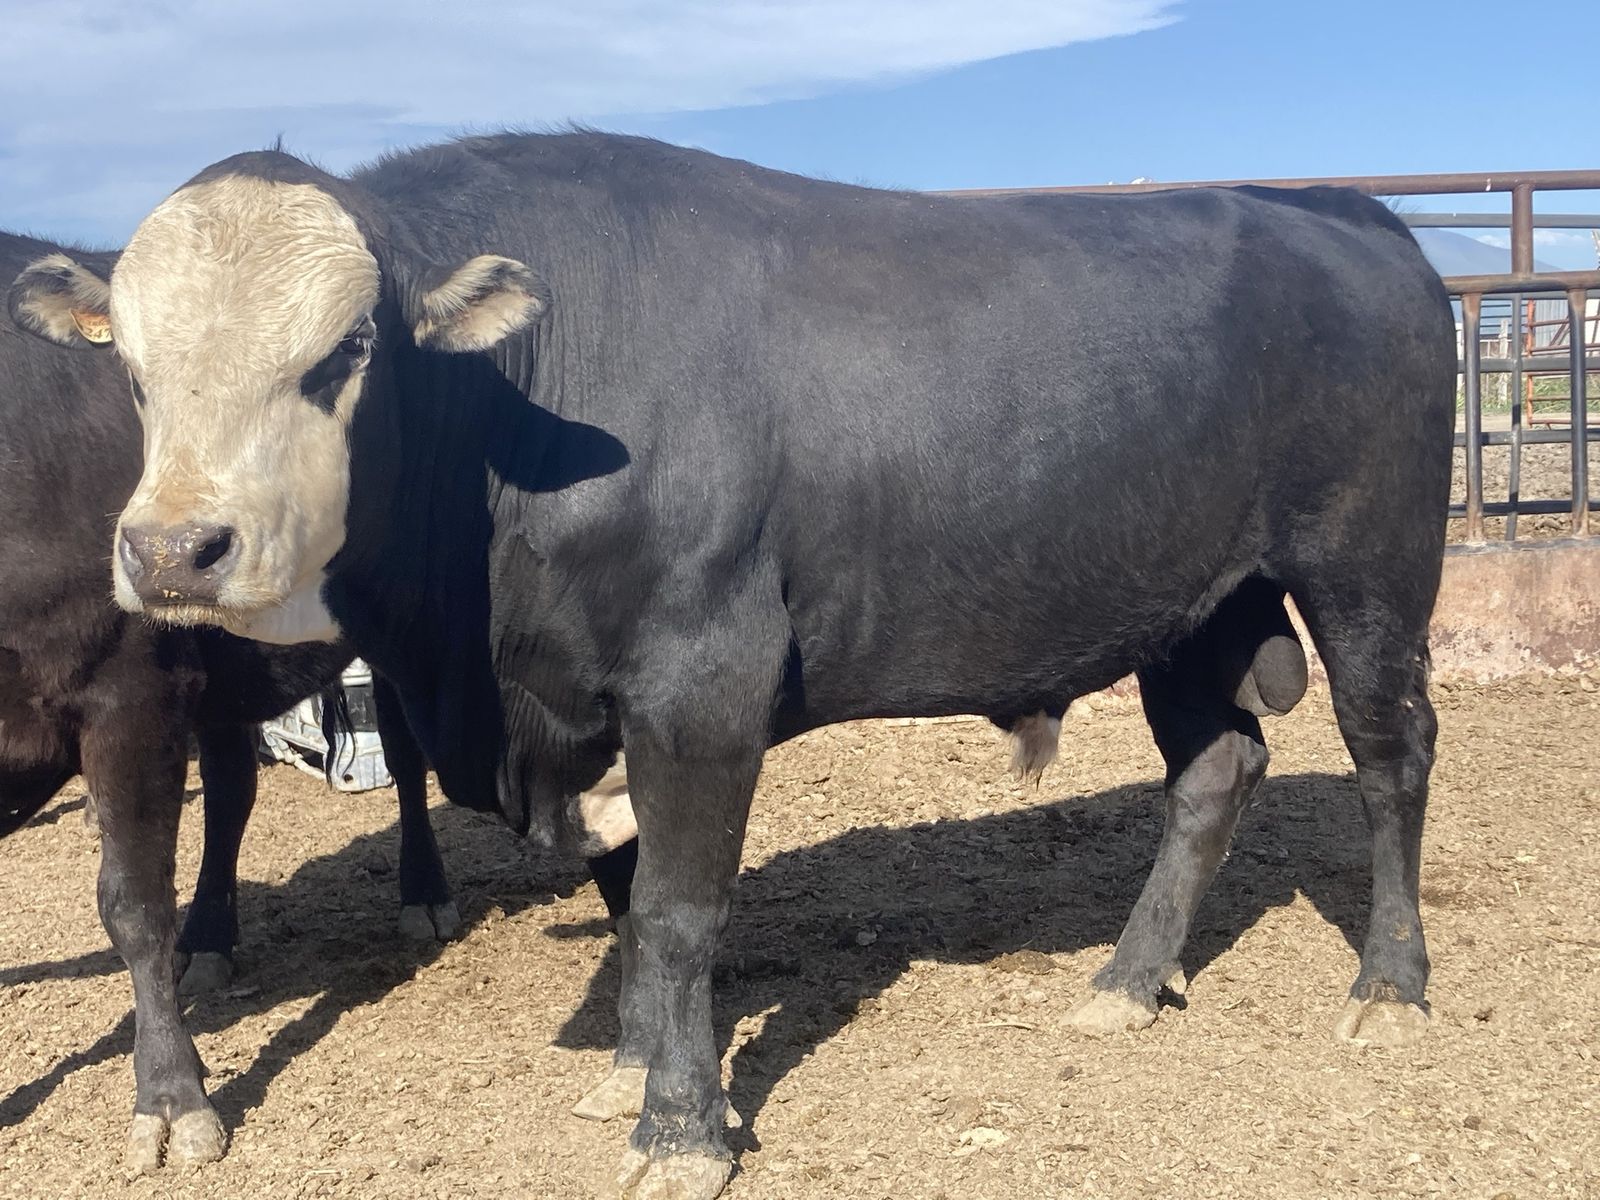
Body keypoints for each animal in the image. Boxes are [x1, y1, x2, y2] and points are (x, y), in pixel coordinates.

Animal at [10, 134, 1455, 1200]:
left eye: (346, 352)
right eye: (132, 371)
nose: (173, 550)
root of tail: (1348, 215)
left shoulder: (703, 682)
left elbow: (681, 906)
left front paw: (681, 1128)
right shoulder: (591, 706)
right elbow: (628, 890)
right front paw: (634, 1066)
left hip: (1368, 571)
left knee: (1391, 754)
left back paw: (1388, 986)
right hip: (1190, 605)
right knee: (1216, 772)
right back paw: (1127, 981)